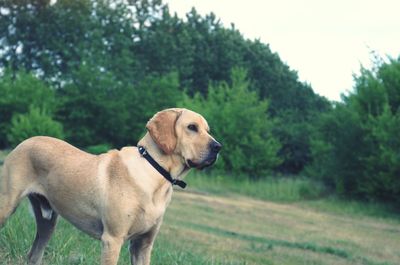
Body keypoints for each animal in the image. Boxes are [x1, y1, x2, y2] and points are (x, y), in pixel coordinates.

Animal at [0, 108, 222, 264]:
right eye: (192, 127)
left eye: (207, 130)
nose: (218, 147)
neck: (154, 171)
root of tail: (23, 142)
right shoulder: (112, 240)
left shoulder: (143, 245)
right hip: (6, 206)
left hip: (48, 223)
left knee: (34, 255)